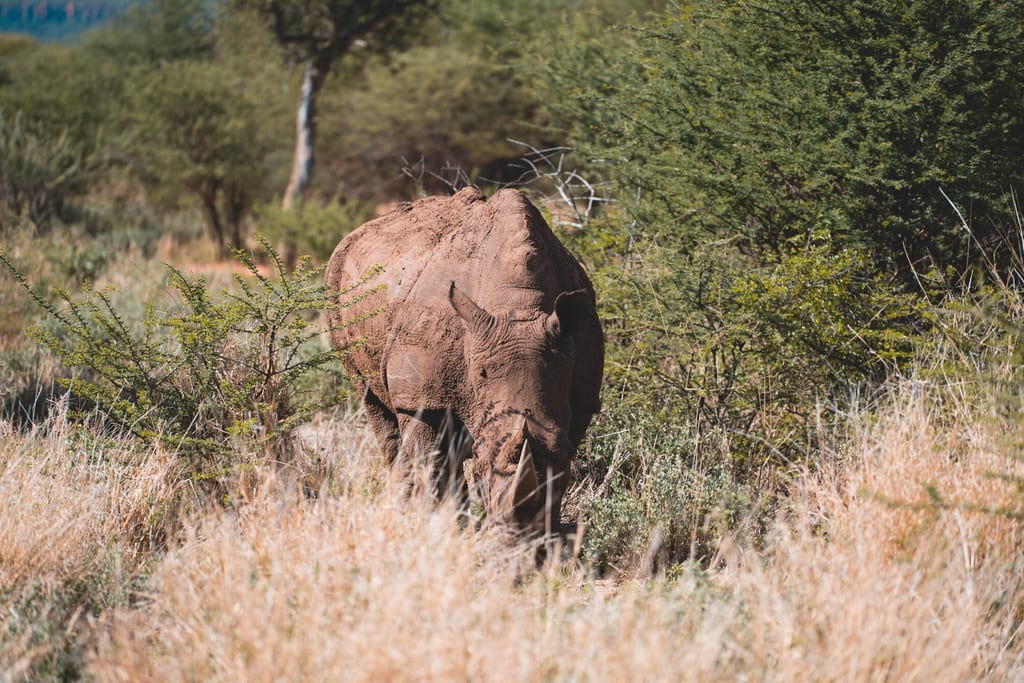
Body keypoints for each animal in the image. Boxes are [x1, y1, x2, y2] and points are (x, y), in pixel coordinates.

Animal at [325, 187, 604, 535]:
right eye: (482, 463)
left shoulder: (580, 401)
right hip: (335, 285)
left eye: (564, 459)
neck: (517, 304)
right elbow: (431, 464)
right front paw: (439, 531)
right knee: (373, 401)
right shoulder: (421, 397)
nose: (517, 534)